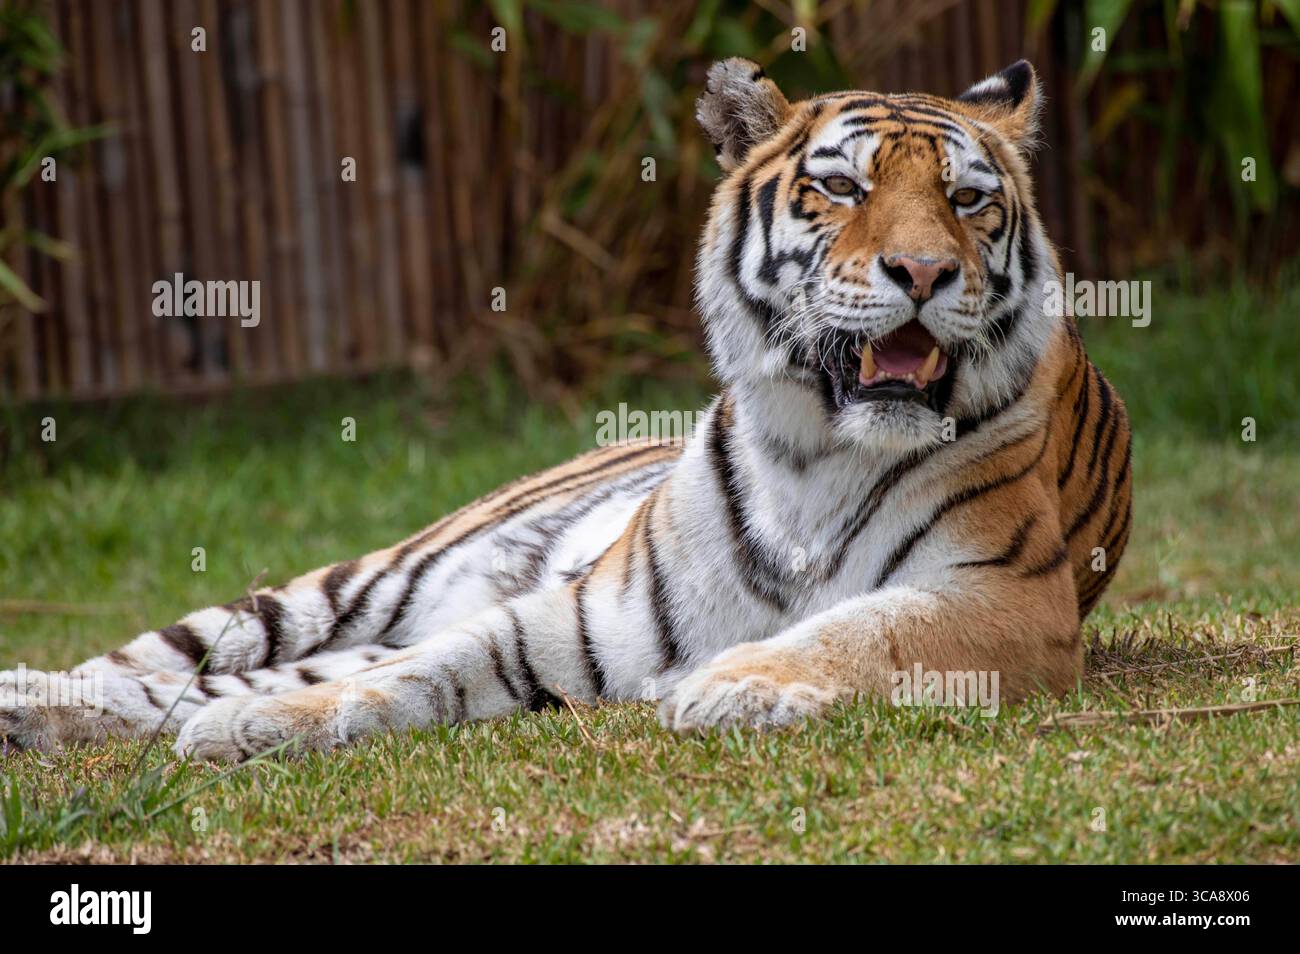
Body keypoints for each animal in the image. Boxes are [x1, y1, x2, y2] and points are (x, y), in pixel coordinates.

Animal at [0, 58, 1131, 762]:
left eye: (968, 200)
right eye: (843, 189)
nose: (927, 272)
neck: (815, 455)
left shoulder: (1006, 598)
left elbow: (862, 633)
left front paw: (734, 685)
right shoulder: (593, 613)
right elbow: (436, 664)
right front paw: (275, 728)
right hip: (344, 588)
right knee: (169, 663)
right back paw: (37, 698)